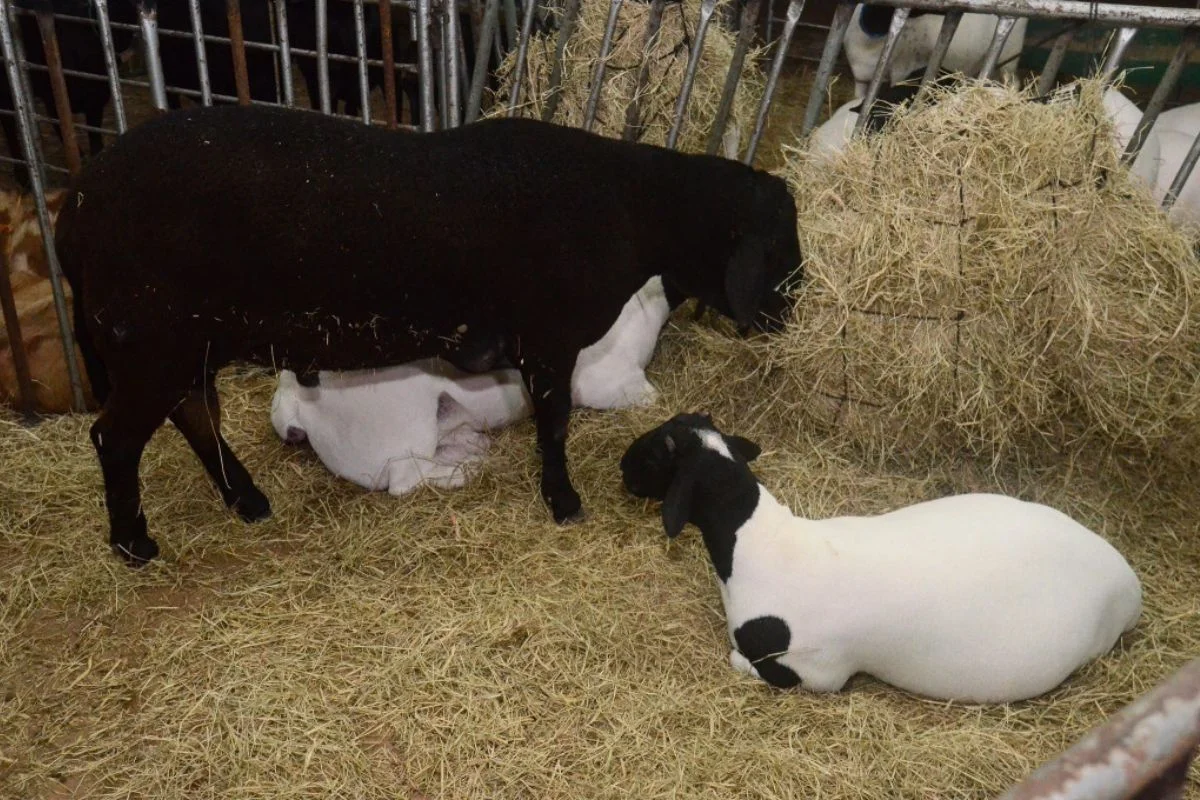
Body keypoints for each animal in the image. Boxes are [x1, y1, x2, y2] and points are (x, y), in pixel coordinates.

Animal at [55, 107, 800, 565]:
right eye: (775, 248)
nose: (787, 317)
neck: (630, 210)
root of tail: (75, 209)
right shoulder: (549, 336)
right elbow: (555, 422)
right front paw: (563, 502)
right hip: (150, 339)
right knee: (116, 436)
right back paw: (133, 543)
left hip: (184, 342)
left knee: (195, 414)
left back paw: (248, 502)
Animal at [620, 413, 1142, 702]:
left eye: (660, 453)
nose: (622, 465)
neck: (757, 541)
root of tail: (1128, 582)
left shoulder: (812, 672)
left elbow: (739, 660)